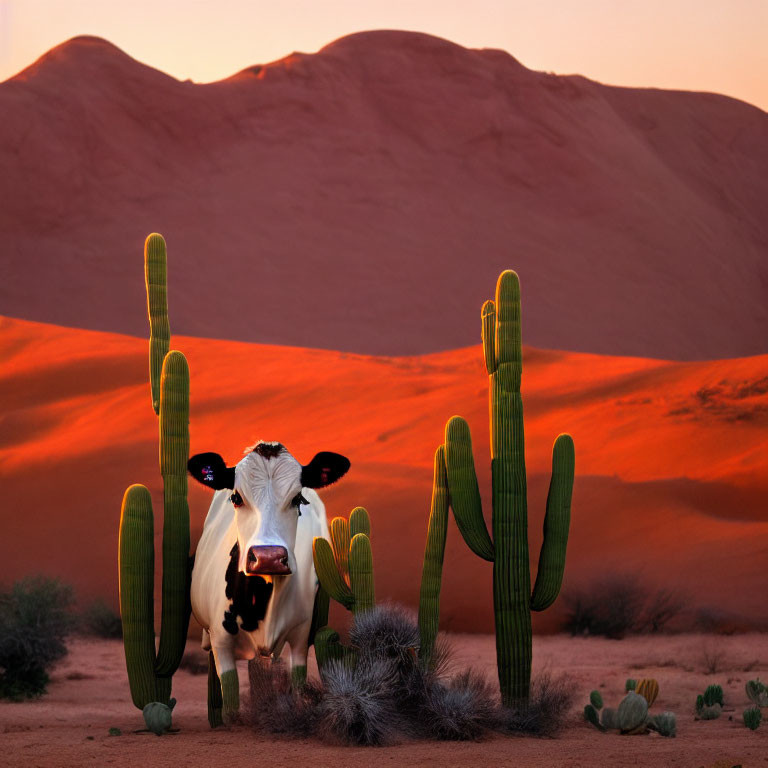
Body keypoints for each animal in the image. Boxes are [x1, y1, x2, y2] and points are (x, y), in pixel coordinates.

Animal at [188, 438, 350, 720]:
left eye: (297, 498)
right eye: (236, 497)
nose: (268, 557)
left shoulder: (301, 637)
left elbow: (297, 686)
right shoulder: (220, 641)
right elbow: (230, 701)